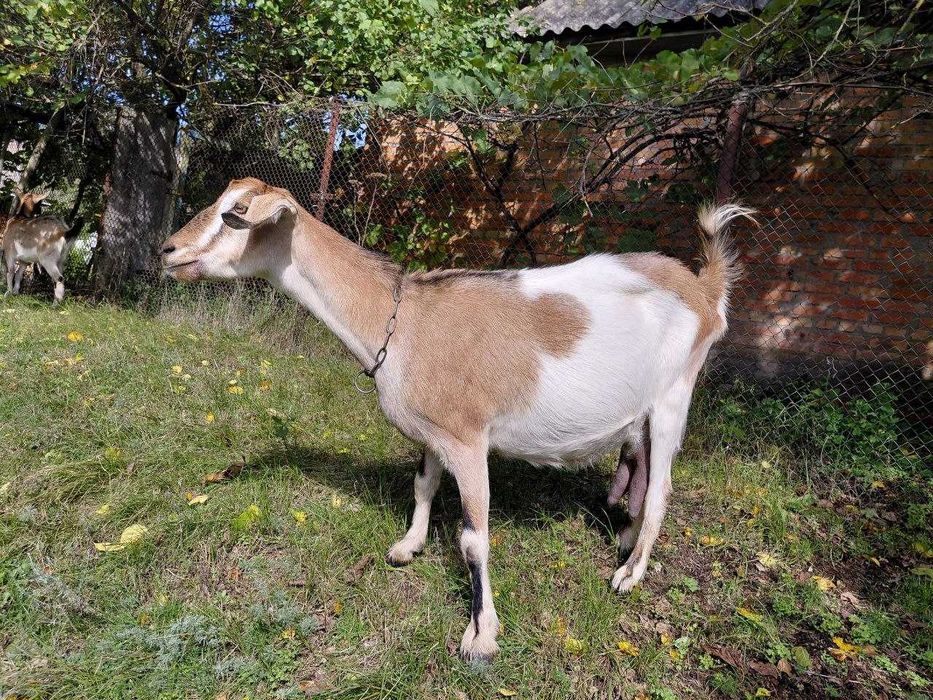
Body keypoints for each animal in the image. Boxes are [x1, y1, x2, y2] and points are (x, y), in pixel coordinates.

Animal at [161, 177, 754, 661]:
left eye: (235, 212)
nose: (167, 250)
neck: (403, 321)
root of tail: (705, 288)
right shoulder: (434, 431)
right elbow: (423, 484)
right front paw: (408, 546)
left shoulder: (469, 438)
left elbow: (474, 538)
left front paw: (481, 635)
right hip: (644, 414)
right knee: (641, 471)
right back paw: (625, 541)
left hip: (675, 393)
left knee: (661, 490)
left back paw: (628, 575)